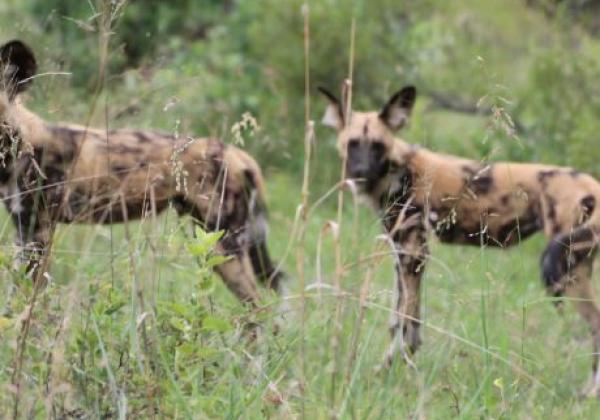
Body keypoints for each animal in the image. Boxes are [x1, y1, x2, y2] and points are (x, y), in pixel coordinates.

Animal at [0, 40, 286, 306]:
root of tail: (240, 155)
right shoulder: (23, 229)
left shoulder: (39, 230)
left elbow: (25, 296)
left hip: (223, 247)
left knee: (259, 309)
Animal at [322, 84, 600, 394]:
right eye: (353, 144)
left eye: (377, 146)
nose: (361, 172)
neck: (400, 170)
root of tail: (592, 185)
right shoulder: (402, 255)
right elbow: (398, 320)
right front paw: (393, 369)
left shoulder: (413, 253)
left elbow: (406, 322)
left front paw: (392, 370)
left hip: (571, 274)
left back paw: (591, 394)